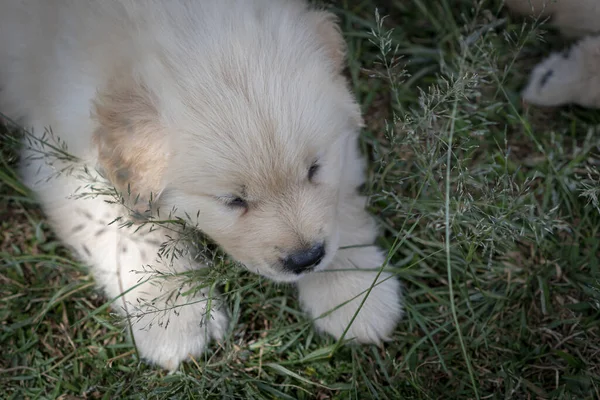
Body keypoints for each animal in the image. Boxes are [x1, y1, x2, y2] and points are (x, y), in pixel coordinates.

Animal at [1, 0, 404, 370]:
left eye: (314, 169)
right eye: (233, 200)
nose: (306, 259)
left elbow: (342, 207)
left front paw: (354, 294)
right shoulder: (65, 160)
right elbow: (133, 240)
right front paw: (176, 319)